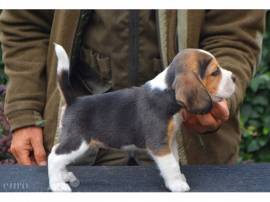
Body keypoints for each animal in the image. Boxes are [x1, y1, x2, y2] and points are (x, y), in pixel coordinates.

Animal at [49, 43, 236, 192]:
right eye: (215, 72)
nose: (234, 77)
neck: (167, 93)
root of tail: (74, 100)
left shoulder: (170, 141)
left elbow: (175, 161)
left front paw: (177, 179)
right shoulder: (158, 144)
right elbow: (171, 164)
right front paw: (177, 184)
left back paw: (64, 176)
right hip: (78, 142)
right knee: (54, 156)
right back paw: (57, 184)